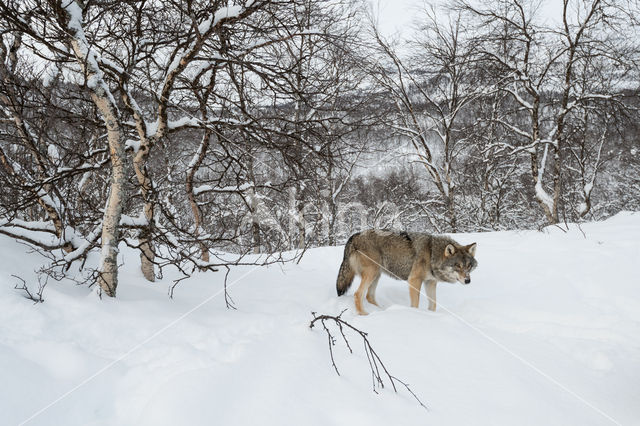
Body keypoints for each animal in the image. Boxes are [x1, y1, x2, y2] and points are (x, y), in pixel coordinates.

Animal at [336, 230, 476, 316]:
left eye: (468, 266)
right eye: (457, 266)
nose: (468, 281)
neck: (432, 253)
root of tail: (355, 235)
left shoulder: (430, 282)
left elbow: (433, 304)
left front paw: (431, 315)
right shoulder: (414, 280)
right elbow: (415, 304)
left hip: (376, 274)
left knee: (369, 296)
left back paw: (381, 311)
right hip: (372, 273)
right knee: (358, 294)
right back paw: (364, 314)